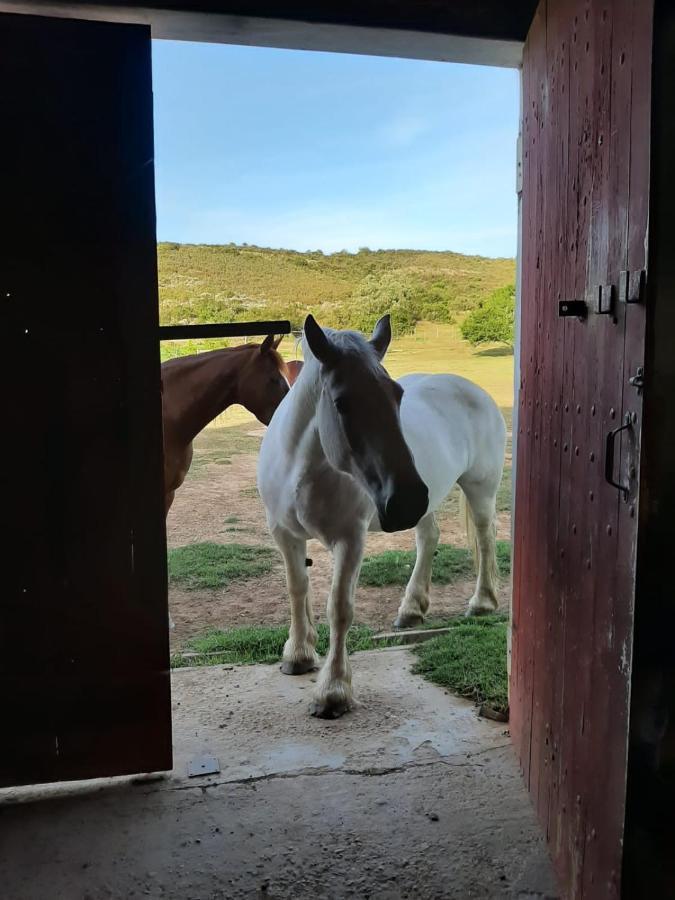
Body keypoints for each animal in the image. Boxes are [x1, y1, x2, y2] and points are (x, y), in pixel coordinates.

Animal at [258, 312, 508, 720]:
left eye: (398, 396)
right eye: (342, 403)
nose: (405, 499)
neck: (301, 468)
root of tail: (472, 389)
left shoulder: (350, 538)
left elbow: (340, 608)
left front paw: (334, 690)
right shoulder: (285, 534)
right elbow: (297, 590)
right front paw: (298, 654)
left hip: (479, 488)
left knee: (486, 538)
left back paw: (482, 602)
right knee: (429, 538)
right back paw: (412, 609)